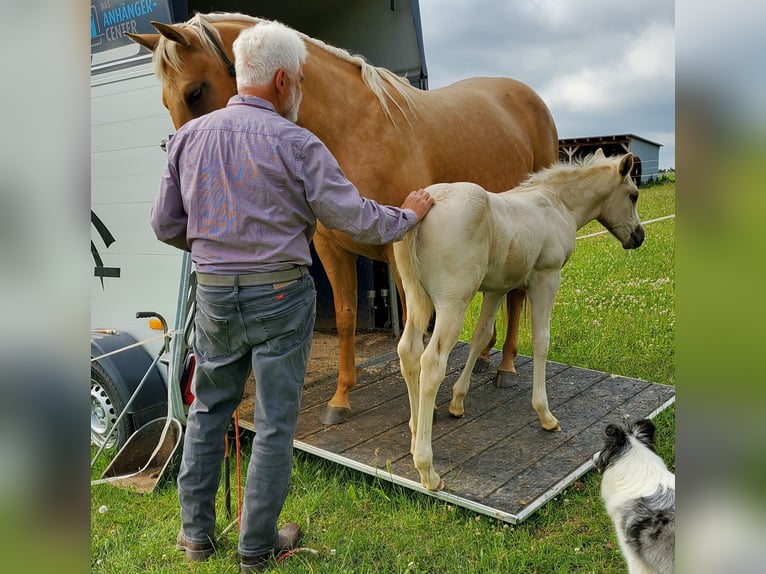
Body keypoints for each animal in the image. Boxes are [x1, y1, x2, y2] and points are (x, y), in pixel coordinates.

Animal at [394, 150, 645, 491]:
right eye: (633, 195)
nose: (639, 237)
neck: (556, 203)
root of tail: (426, 204)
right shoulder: (546, 278)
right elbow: (541, 340)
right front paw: (545, 414)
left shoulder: (496, 288)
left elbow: (481, 336)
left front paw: (458, 401)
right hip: (452, 302)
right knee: (431, 363)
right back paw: (427, 470)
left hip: (415, 297)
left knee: (408, 352)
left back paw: (413, 436)